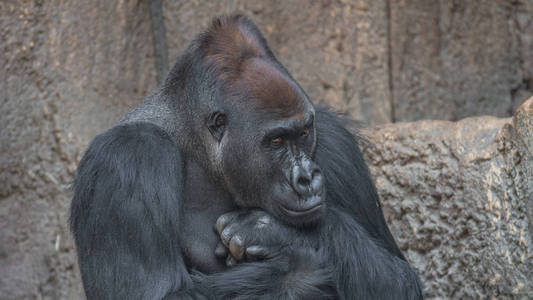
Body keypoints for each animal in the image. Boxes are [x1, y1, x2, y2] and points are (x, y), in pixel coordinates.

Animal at [69, 15, 420, 298]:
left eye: (304, 133)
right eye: (276, 141)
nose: (306, 178)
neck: (197, 147)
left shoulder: (334, 140)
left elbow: (400, 282)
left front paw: (277, 233)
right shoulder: (130, 155)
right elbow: (157, 295)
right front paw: (298, 261)